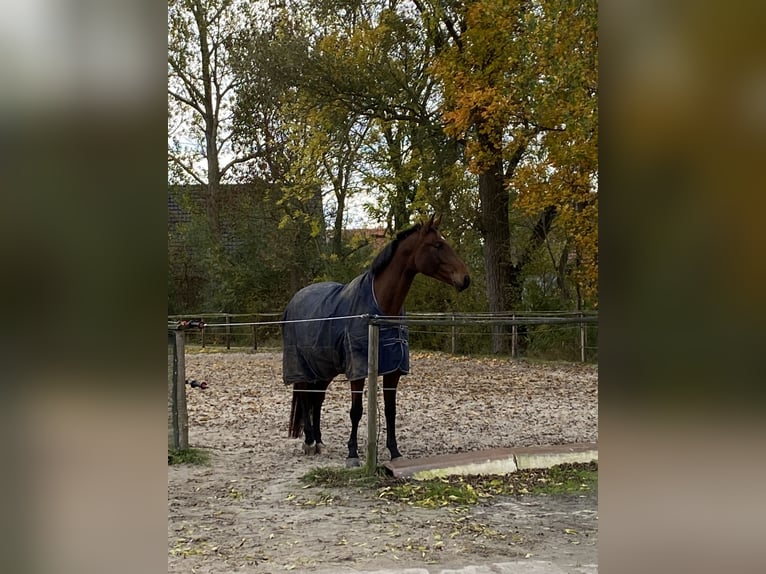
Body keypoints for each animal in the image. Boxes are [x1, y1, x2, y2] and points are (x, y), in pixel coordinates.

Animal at [284, 216, 472, 468]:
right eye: (438, 245)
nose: (465, 279)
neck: (380, 309)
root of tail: (296, 298)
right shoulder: (358, 370)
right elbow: (356, 411)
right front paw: (352, 454)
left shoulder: (393, 370)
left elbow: (391, 410)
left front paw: (395, 451)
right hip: (302, 366)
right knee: (306, 398)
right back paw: (309, 442)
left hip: (324, 367)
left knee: (318, 399)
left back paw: (319, 441)